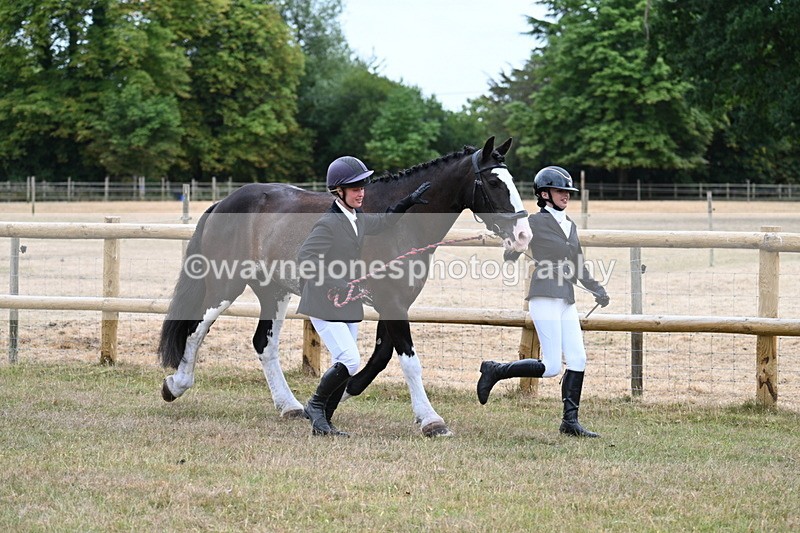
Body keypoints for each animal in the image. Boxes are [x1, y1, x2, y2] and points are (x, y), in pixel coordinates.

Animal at [157, 136, 533, 437]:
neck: (400, 226)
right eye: (494, 182)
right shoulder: (392, 303)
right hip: (225, 285)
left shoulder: (394, 303)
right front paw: (431, 420)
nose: (523, 236)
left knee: (264, 343)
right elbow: (409, 361)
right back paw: (176, 386)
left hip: (273, 292)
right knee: (195, 330)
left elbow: (381, 356)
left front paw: (343, 392)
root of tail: (224, 202)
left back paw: (289, 406)